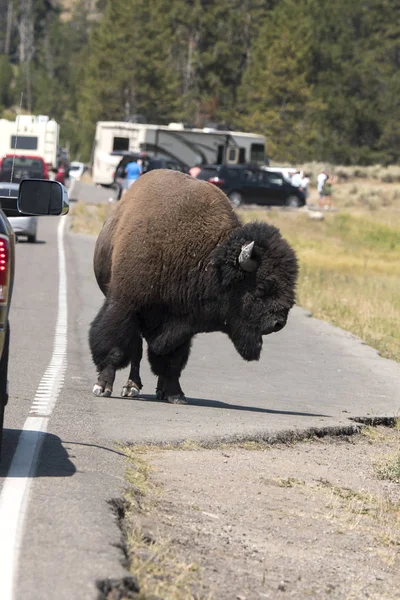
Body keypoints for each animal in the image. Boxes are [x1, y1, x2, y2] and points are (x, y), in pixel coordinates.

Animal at [90, 169, 296, 404]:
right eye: (262, 287)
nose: (279, 322)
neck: (206, 259)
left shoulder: (182, 324)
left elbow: (172, 360)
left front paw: (175, 394)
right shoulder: (124, 306)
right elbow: (115, 348)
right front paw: (103, 387)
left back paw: (159, 391)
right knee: (137, 350)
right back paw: (131, 387)